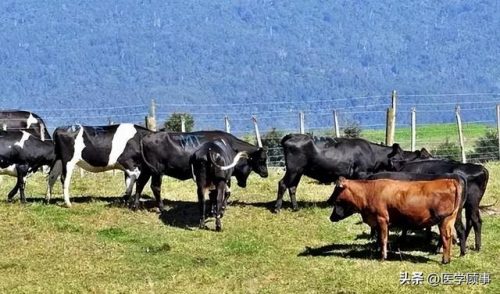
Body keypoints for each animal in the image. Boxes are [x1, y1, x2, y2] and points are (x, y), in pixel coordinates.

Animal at [131, 131, 268, 211]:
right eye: (262, 159)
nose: (266, 173)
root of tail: (147, 136)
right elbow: (226, 192)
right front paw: (222, 206)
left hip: (146, 169)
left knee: (140, 183)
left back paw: (135, 206)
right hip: (157, 170)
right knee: (155, 187)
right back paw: (162, 207)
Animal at [276, 134, 428, 212]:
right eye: (399, 157)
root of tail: (291, 136)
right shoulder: (362, 173)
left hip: (299, 171)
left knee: (292, 186)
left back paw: (295, 208)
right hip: (293, 169)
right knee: (283, 183)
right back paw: (277, 208)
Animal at [330, 177, 462, 264]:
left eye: (336, 190)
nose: (331, 217)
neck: (369, 192)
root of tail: (450, 180)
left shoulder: (382, 219)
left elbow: (383, 239)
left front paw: (382, 257)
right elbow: (383, 239)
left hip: (445, 220)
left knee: (446, 237)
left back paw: (445, 260)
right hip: (450, 220)